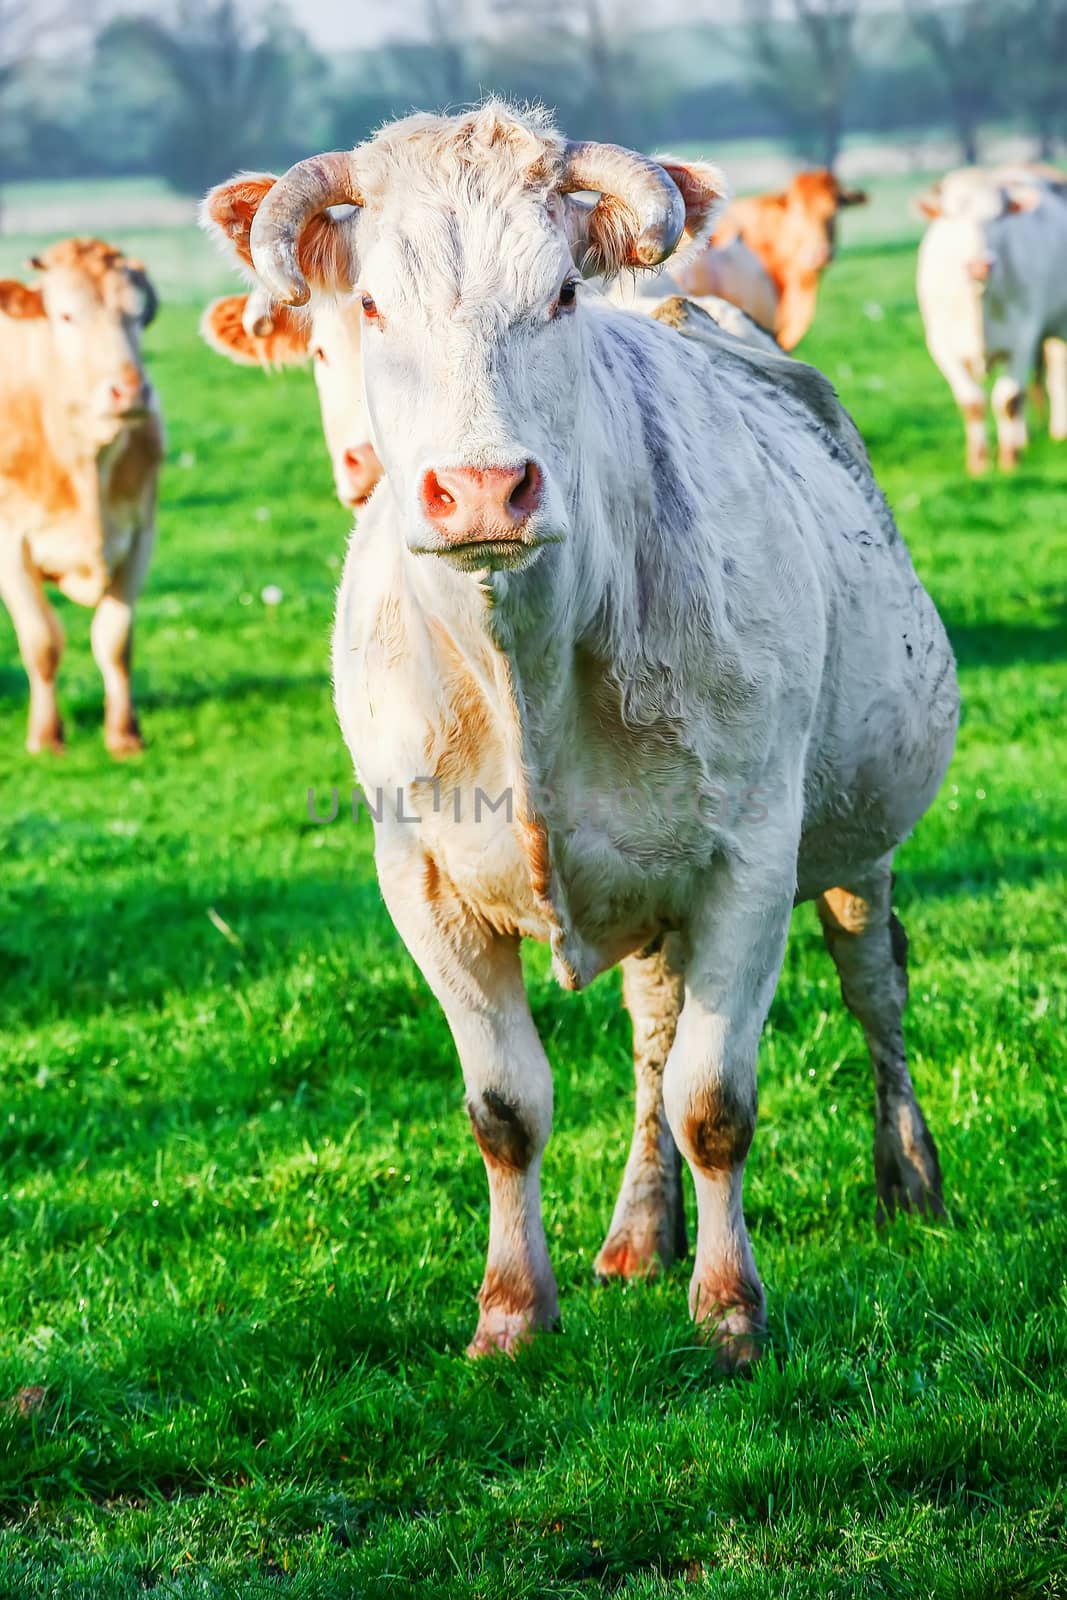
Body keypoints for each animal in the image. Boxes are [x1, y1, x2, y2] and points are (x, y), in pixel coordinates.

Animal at [0, 236, 163, 755]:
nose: (129, 391)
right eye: (66, 315)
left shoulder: (140, 535)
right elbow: (41, 641)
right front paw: (45, 736)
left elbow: (114, 639)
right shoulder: (9, 546)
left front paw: (124, 734)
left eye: (137, 316)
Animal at [915, 166, 1067, 470]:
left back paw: (1058, 432)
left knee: (1057, 375)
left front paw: (1009, 459)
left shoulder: (1023, 339)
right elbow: (973, 402)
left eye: (999, 216)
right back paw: (1024, 439)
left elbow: (1008, 400)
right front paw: (979, 462)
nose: (980, 266)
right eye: (951, 216)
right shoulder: (941, 345)